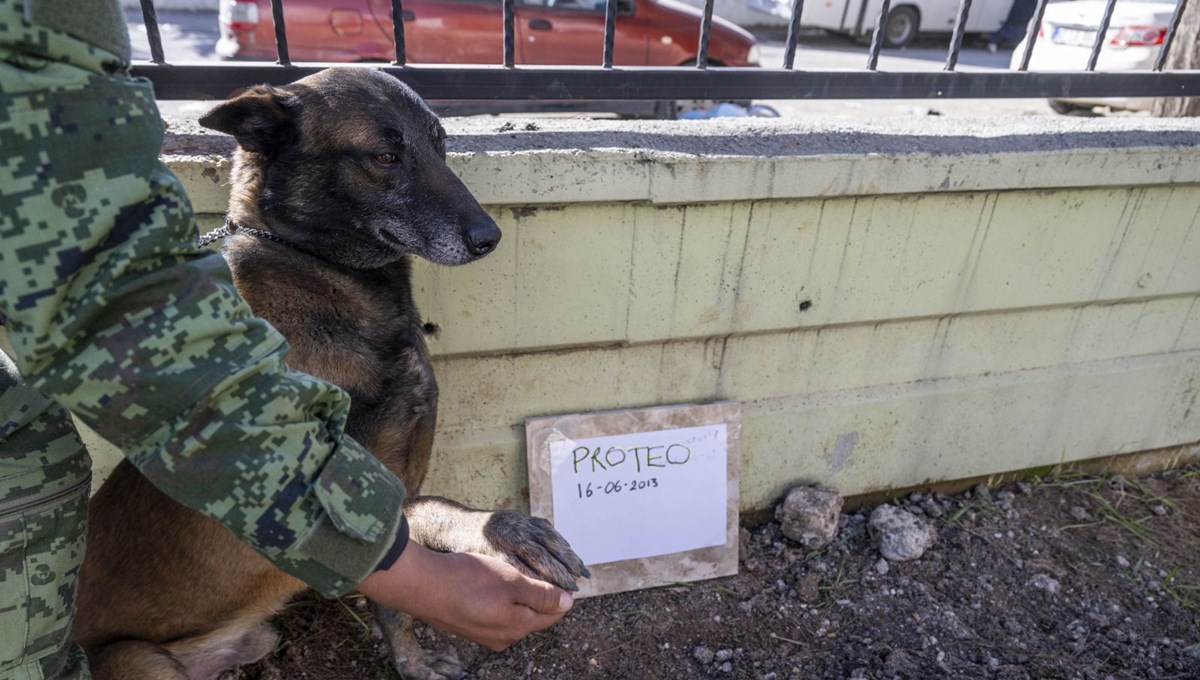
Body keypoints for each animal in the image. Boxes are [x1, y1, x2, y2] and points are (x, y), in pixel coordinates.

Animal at [72, 67, 588, 680]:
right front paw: (504, 530)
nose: (489, 238)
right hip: (136, 659)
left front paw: (412, 661)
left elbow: (400, 596)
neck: (322, 272)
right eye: (385, 155)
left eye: (440, 145)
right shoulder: (351, 492)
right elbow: (435, 515)